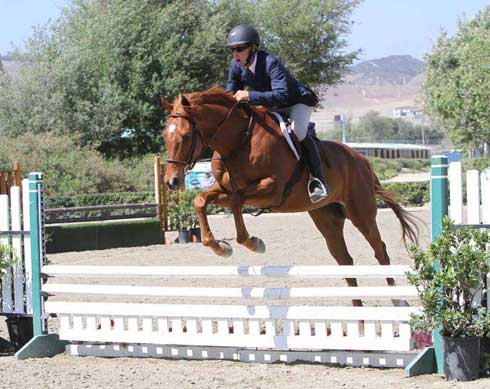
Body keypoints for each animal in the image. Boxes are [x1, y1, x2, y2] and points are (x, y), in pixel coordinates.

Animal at [161, 86, 418, 304]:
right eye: (165, 135)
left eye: (186, 136)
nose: (172, 181)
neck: (239, 141)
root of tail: (362, 160)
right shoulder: (225, 190)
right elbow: (201, 201)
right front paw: (219, 247)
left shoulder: (272, 189)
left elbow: (236, 203)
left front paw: (254, 244)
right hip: (327, 218)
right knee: (344, 259)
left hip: (361, 213)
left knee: (380, 249)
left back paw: (397, 299)